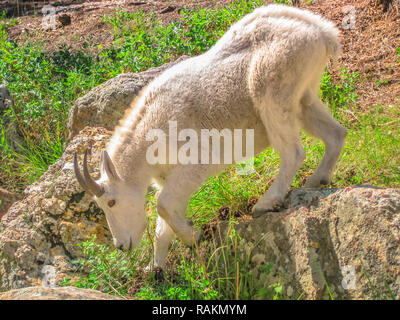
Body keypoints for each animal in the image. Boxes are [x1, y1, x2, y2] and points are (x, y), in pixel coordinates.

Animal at [75, 4, 346, 268]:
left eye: (111, 202)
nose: (121, 245)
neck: (149, 136)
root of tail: (323, 32)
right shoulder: (169, 178)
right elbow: (164, 223)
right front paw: (157, 268)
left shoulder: (197, 161)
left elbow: (163, 205)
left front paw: (192, 236)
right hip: (304, 96)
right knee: (336, 133)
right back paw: (317, 180)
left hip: (271, 88)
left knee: (293, 152)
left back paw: (267, 202)